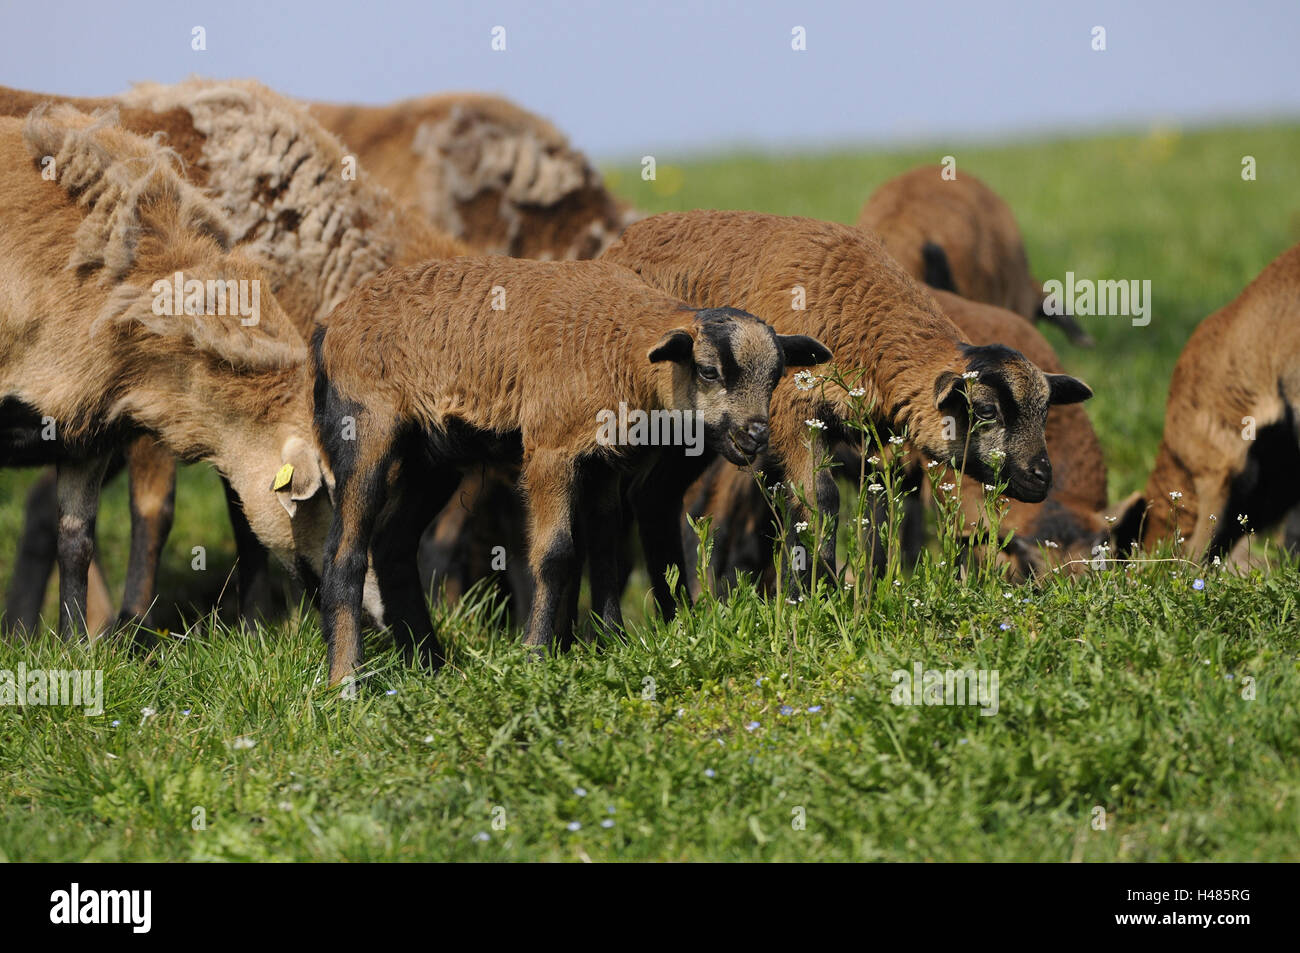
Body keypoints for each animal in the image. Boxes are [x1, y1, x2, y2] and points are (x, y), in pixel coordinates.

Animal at [310, 257, 830, 685]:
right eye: (707, 371)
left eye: (776, 377)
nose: (754, 437)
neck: (622, 345)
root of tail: (328, 327)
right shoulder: (550, 449)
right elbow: (556, 554)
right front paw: (536, 655)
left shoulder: (603, 463)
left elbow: (606, 552)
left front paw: (612, 643)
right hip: (366, 426)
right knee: (345, 552)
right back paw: (346, 682)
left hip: (431, 456)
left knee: (392, 544)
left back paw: (430, 666)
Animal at [600, 210, 1093, 606]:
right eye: (986, 410)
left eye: (1045, 411)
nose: (1041, 477)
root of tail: (619, 243)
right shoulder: (793, 415)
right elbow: (819, 500)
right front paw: (812, 596)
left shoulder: (879, 438)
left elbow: (880, 511)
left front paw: (867, 591)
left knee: (655, 497)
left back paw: (677, 613)